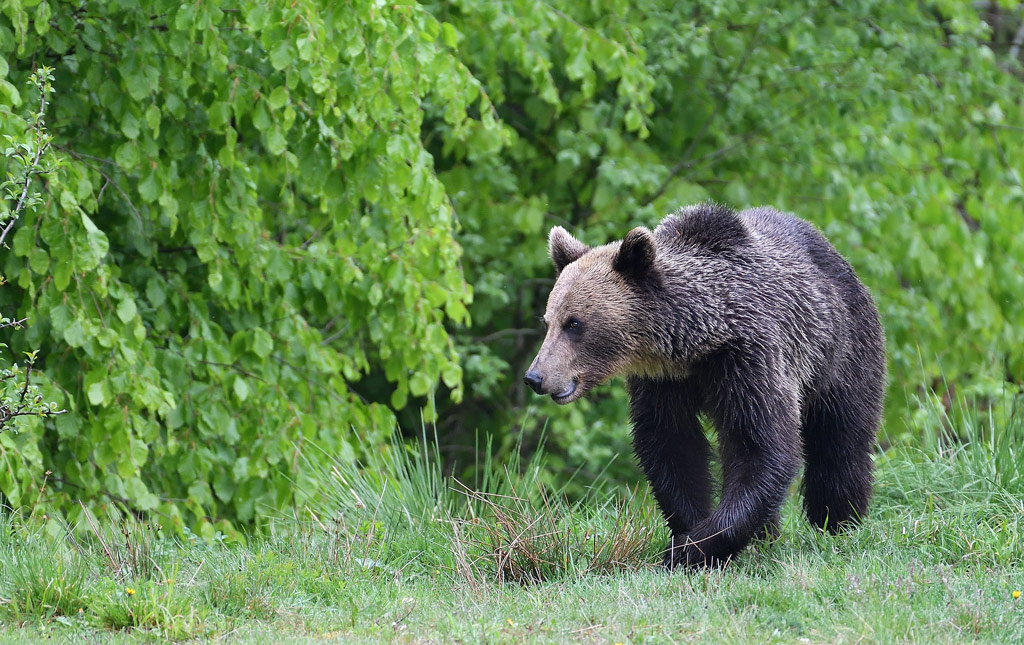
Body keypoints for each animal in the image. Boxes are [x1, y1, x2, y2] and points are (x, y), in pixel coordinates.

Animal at [524, 204, 884, 569]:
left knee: (840, 440)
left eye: (575, 323)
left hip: (840, 352)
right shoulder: (663, 383)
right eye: (548, 321)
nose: (535, 377)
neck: (695, 345)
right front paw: (690, 535)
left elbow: (762, 447)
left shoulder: (749, 360)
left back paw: (837, 522)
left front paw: (694, 547)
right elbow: (672, 446)